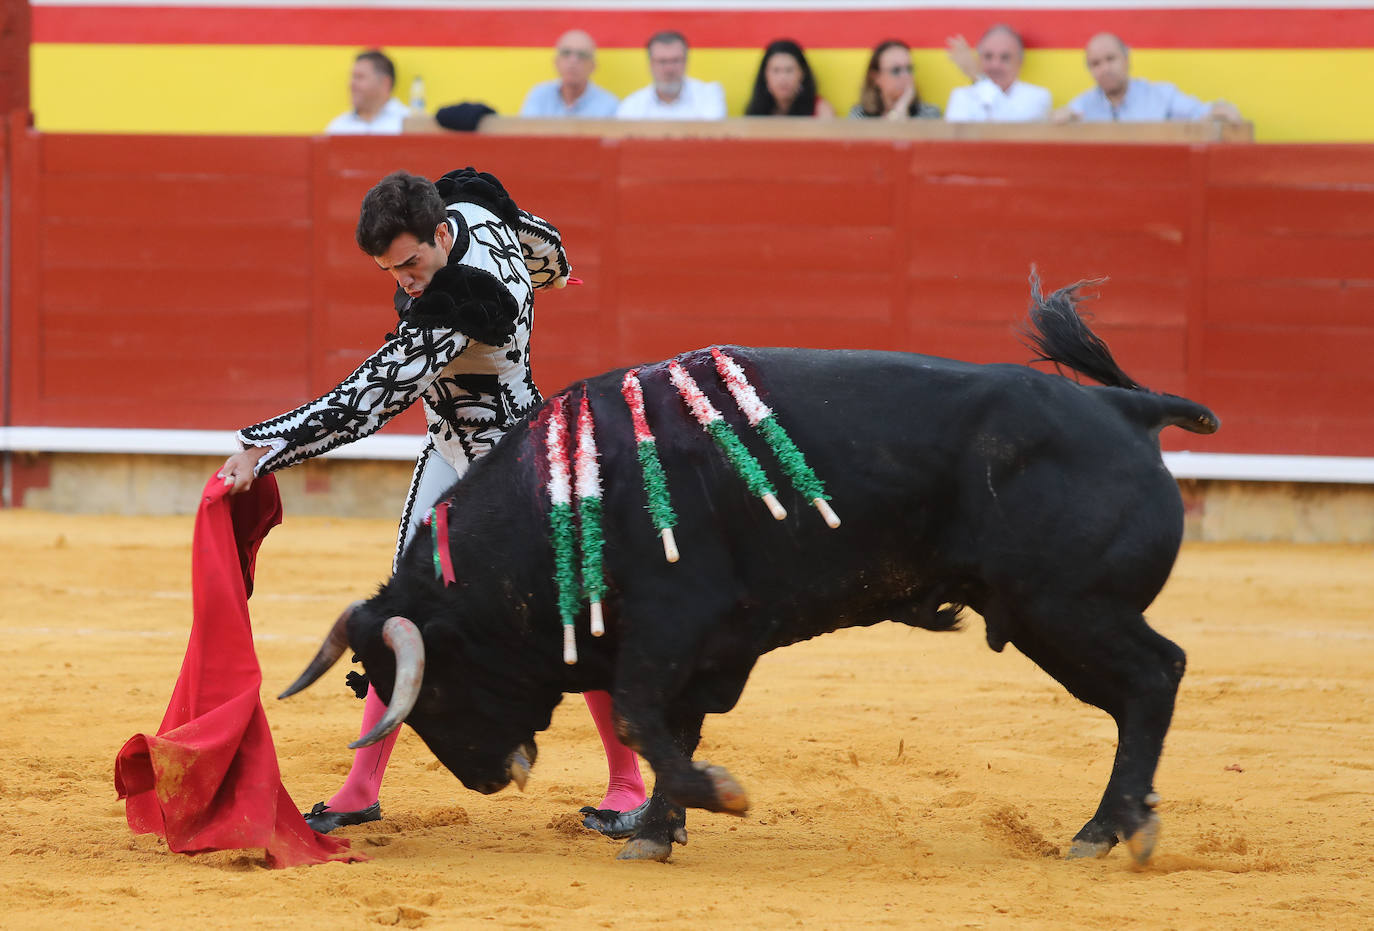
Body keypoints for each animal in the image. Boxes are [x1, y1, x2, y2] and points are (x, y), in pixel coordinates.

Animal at [281, 278, 1225, 867]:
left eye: (429, 688)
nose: (488, 778)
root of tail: (1126, 408)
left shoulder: (673, 625)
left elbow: (642, 717)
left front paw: (715, 799)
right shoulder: (700, 648)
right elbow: (668, 728)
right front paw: (657, 829)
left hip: (1067, 606)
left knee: (1156, 675)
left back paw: (1111, 829)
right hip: (1042, 617)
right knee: (1137, 691)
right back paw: (1112, 824)